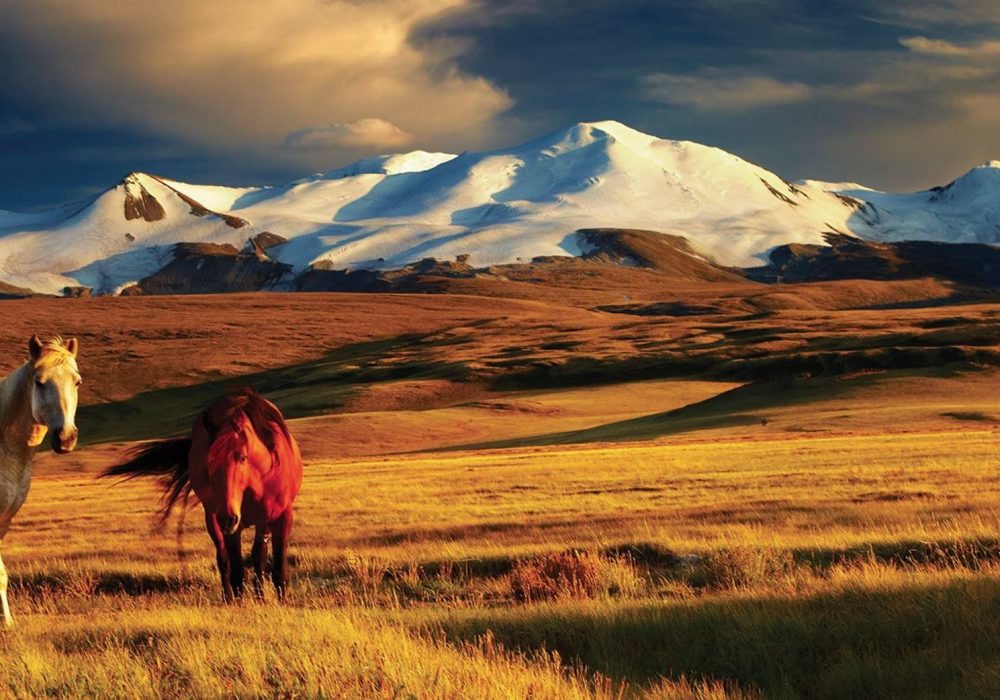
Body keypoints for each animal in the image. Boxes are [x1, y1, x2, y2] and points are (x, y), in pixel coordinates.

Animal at [105, 388, 302, 600]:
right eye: (208, 463)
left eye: (242, 457)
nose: (228, 518)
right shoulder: (233, 527)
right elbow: (237, 573)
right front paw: (240, 604)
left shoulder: (282, 517)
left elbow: (278, 571)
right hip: (214, 519)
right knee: (224, 561)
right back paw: (229, 599)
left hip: (259, 522)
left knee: (259, 555)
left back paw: (260, 597)